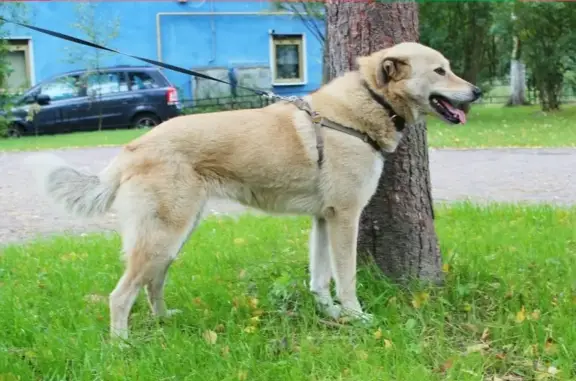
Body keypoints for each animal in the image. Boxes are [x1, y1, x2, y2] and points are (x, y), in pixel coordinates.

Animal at [24, 42, 480, 338]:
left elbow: (320, 278)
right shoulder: (345, 218)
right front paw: (355, 317)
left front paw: (329, 313)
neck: (365, 105)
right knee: (119, 296)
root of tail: (133, 147)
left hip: (173, 237)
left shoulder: (323, 219)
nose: (476, 91)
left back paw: (164, 320)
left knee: (153, 284)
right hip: (161, 237)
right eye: (440, 71)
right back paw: (123, 347)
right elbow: (346, 278)